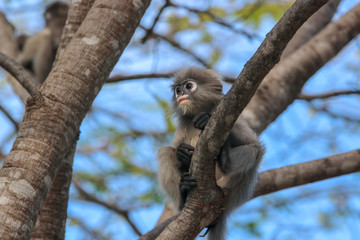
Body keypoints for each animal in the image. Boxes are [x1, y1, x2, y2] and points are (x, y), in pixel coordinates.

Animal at [158, 67, 264, 240]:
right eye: (177, 89)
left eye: (188, 86)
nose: (180, 94)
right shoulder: (184, 123)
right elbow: (175, 149)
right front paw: (182, 153)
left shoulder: (227, 112)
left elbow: (252, 143)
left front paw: (206, 119)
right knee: (165, 152)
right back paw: (184, 195)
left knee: (255, 151)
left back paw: (226, 161)